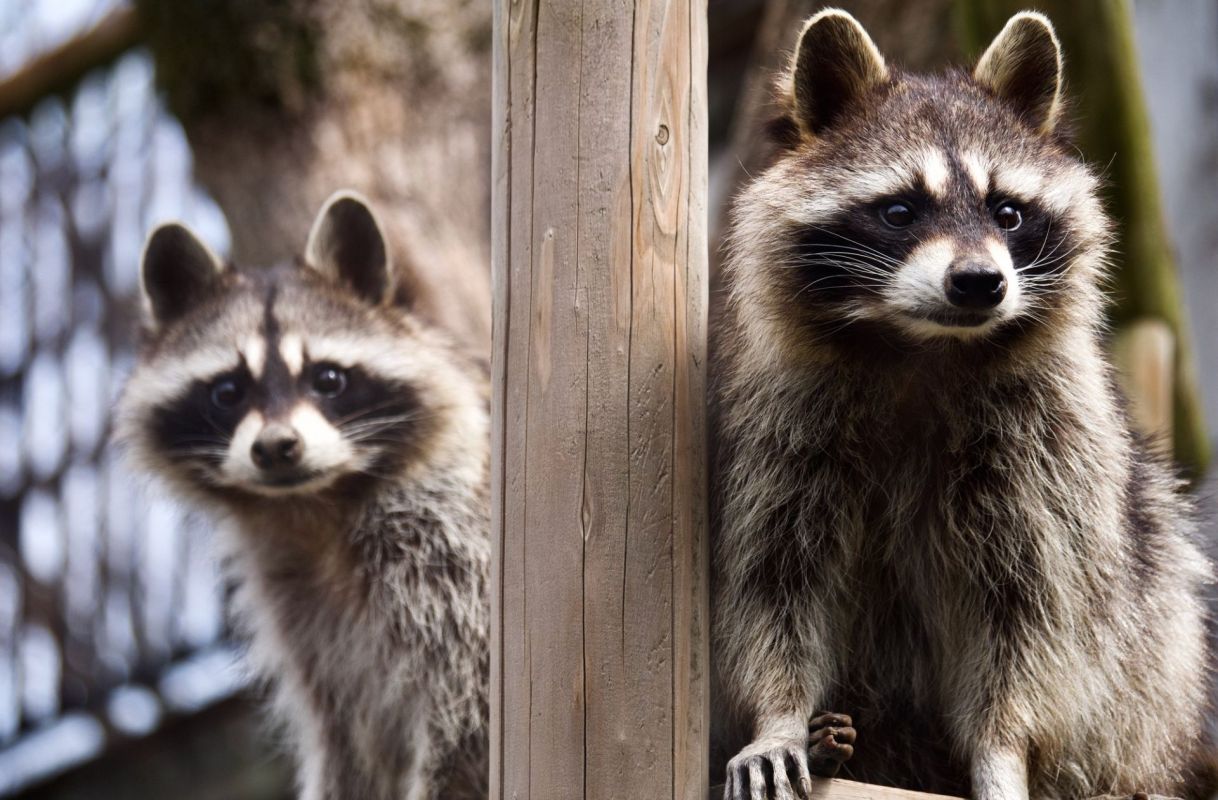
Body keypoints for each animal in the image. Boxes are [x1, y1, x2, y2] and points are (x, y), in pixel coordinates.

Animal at [116, 192, 490, 800]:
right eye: (227, 391)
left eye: (329, 379)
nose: (276, 447)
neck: (315, 511)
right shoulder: (304, 617)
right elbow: (350, 746)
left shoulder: (456, 557)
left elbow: (468, 725)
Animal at [712, 10, 1212, 800]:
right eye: (899, 211)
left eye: (1007, 212)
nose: (980, 283)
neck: (924, 346)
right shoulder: (777, 433)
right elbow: (774, 586)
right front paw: (779, 718)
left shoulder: (1051, 458)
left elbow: (1032, 622)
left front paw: (1002, 752)